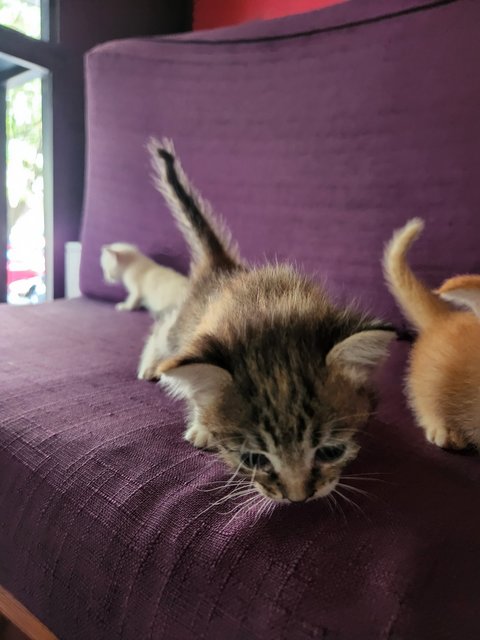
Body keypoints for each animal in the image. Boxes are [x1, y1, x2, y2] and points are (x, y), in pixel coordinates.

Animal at [139, 139, 394, 500]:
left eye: (331, 451)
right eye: (254, 459)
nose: (299, 497)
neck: (270, 308)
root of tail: (225, 269)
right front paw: (203, 426)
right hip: (182, 328)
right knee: (164, 326)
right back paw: (151, 365)